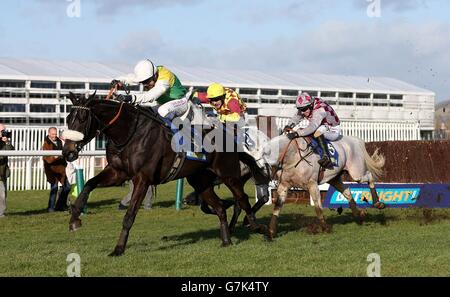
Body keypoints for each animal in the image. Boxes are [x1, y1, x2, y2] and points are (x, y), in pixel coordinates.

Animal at [63, 92, 268, 254]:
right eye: (67, 119)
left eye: (82, 118)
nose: (68, 152)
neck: (129, 133)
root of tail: (230, 136)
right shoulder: (118, 173)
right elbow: (88, 184)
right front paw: (74, 219)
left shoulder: (142, 179)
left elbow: (129, 216)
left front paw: (118, 249)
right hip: (200, 181)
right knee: (219, 207)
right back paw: (226, 240)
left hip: (228, 175)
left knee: (242, 199)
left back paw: (258, 227)